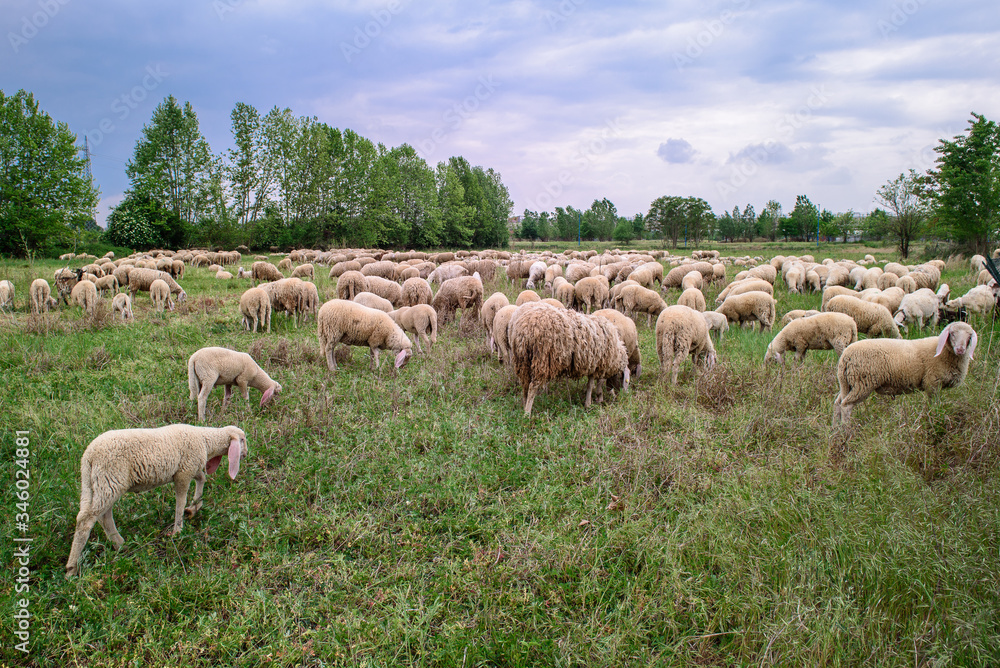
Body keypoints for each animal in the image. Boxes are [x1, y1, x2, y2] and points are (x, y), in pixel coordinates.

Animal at [65, 424, 248, 577]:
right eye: (243, 439)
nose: (246, 453)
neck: (205, 440)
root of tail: (88, 456)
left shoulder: (192, 468)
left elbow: (202, 478)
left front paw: (194, 508)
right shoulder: (183, 473)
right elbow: (180, 502)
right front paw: (177, 530)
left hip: (97, 484)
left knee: (102, 516)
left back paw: (120, 545)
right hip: (109, 480)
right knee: (87, 520)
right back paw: (71, 569)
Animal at [832, 322, 977, 426]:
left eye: (969, 336)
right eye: (952, 334)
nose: (960, 349)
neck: (945, 353)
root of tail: (845, 356)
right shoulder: (933, 382)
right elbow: (934, 404)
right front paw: (935, 417)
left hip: (848, 382)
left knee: (838, 403)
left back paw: (835, 429)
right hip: (862, 383)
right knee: (846, 405)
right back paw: (846, 429)